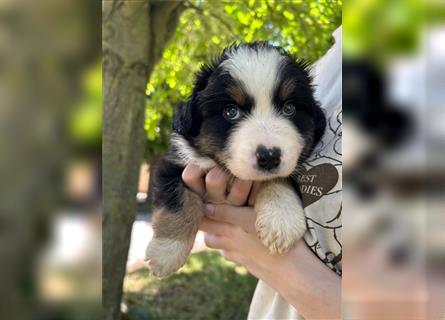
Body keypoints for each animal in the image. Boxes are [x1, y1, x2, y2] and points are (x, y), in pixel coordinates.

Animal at [146, 42, 326, 276]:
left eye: (289, 109)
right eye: (231, 111)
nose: (269, 156)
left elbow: (279, 179)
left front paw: (281, 220)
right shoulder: (176, 161)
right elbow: (177, 201)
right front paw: (166, 252)